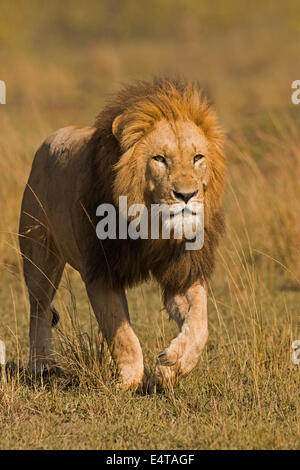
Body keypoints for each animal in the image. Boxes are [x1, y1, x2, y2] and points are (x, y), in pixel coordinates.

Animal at [18, 78, 225, 390]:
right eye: (159, 159)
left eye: (197, 157)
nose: (187, 195)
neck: (152, 226)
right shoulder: (102, 272)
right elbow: (123, 335)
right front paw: (129, 380)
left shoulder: (182, 271)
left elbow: (200, 325)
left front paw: (172, 366)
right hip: (39, 256)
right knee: (39, 309)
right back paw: (42, 365)